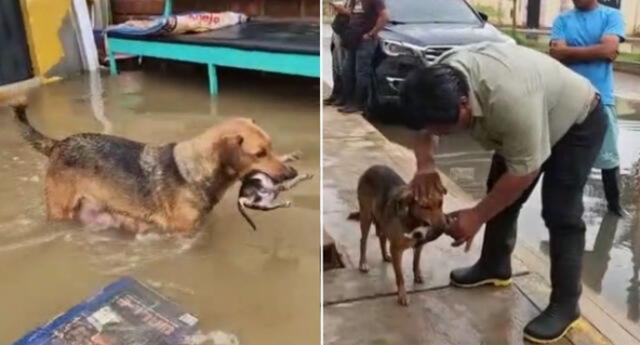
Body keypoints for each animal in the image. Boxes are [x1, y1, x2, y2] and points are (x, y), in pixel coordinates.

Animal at [10, 101, 298, 232]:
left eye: (272, 148)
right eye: (260, 154)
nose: (292, 173)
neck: (193, 171)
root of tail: (58, 144)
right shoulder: (182, 233)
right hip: (60, 210)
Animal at [348, 165, 448, 306]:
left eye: (441, 203)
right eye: (425, 206)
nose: (444, 226)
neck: (414, 221)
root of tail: (372, 168)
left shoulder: (419, 245)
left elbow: (416, 262)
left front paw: (417, 275)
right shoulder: (397, 250)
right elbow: (400, 277)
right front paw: (402, 295)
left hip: (382, 219)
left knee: (382, 237)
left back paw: (385, 256)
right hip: (366, 215)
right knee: (363, 240)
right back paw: (363, 263)